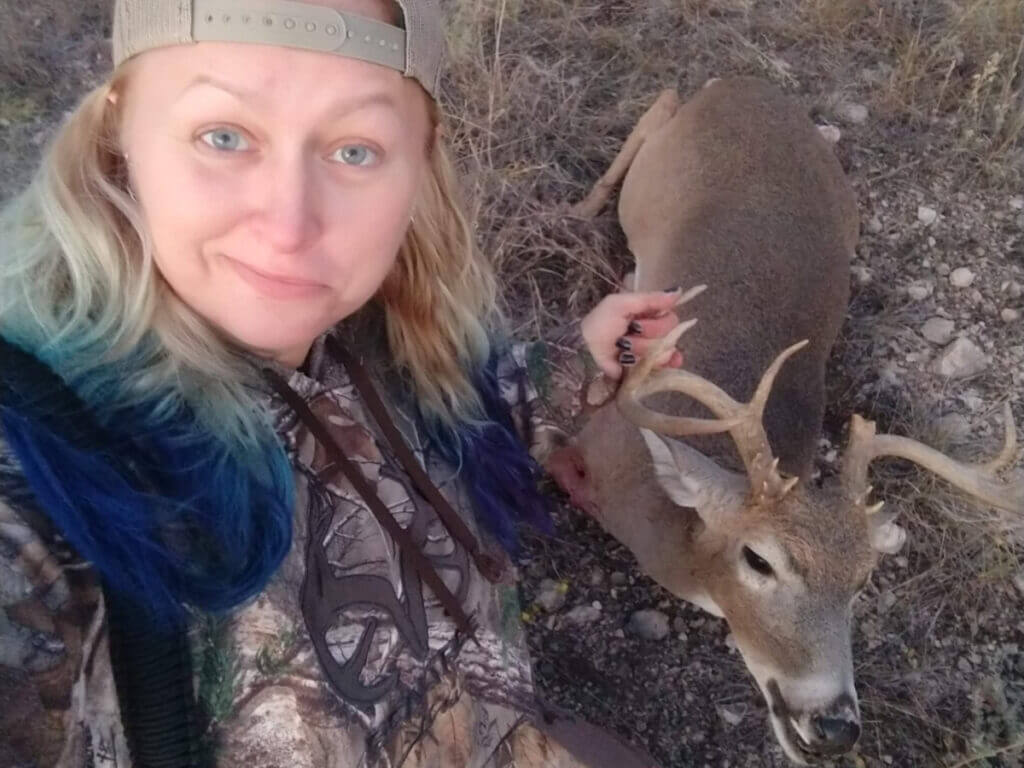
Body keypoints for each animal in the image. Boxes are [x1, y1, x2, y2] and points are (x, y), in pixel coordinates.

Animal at [546, 77, 1024, 764]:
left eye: (861, 580)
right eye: (759, 559)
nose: (834, 725)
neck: (673, 538)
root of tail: (745, 83)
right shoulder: (587, 452)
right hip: (653, 172)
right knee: (661, 103)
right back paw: (581, 208)